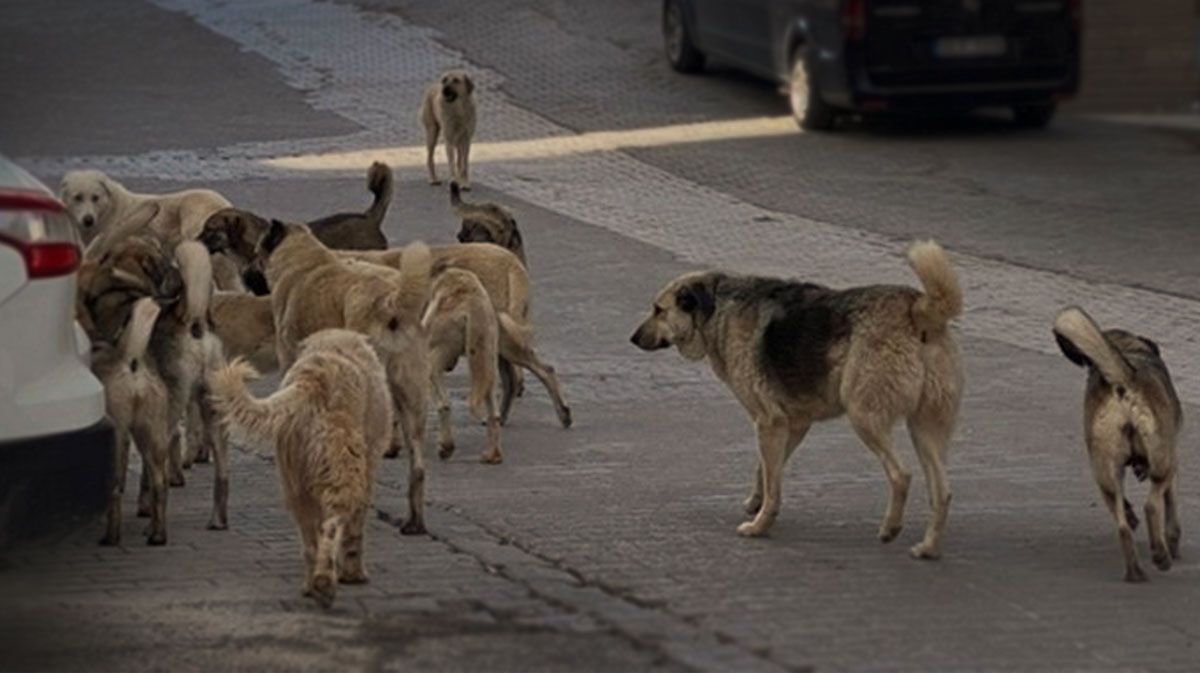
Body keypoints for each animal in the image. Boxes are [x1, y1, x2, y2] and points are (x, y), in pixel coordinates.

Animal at [208, 328, 391, 607]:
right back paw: (325, 582)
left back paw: (311, 585)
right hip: (342, 471)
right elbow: (355, 531)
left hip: (295, 483)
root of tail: (311, 380)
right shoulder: (368, 469)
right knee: (332, 526)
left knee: (310, 542)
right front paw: (354, 573)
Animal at [250, 220, 434, 535]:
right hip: (412, 400)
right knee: (418, 466)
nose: (247, 275)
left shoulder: (291, 364)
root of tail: (390, 303)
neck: (302, 258)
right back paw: (414, 522)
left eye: (255, 252)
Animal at [422, 267, 501, 460]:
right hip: (487, 357)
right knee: (493, 410)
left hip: (435, 357)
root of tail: (472, 307)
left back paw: (446, 447)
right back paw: (492, 455)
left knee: (444, 403)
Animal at [633, 238, 960, 559]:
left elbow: (772, 481)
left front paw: (759, 525)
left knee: (901, 475)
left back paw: (890, 528)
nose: (632, 339)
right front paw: (757, 503)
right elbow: (767, 472)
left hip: (864, 416)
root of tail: (917, 308)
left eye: (658, 310)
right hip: (924, 429)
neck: (717, 307)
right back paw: (928, 547)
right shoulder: (792, 424)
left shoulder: (769, 422)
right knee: (942, 491)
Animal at [1051, 307, 1180, 580]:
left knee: (1122, 526)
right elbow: (1171, 505)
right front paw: (1173, 543)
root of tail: (1123, 380)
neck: (1128, 348)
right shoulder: (1172, 458)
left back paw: (1135, 571)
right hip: (1164, 461)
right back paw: (1160, 555)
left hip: (1106, 471)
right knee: (1152, 505)